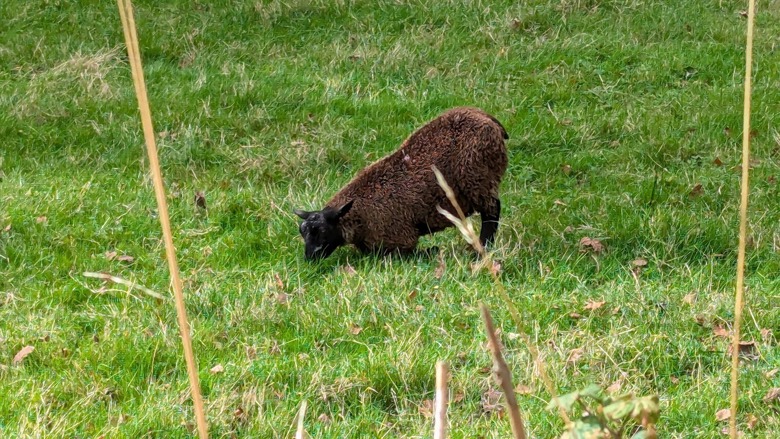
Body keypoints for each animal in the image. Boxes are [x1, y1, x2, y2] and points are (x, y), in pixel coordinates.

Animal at [294, 106, 509, 261]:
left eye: (321, 231)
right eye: (302, 231)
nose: (309, 259)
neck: (359, 212)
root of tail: (488, 119)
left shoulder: (400, 238)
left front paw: (431, 250)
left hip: (477, 178)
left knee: (492, 211)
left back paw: (482, 249)